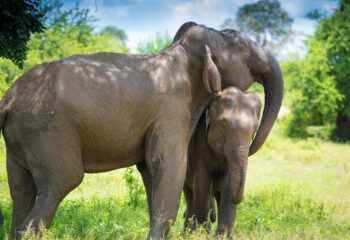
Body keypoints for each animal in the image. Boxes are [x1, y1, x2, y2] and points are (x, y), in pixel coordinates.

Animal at [185, 86, 262, 236]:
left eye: (254, 129)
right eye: (224, 125)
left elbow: (228, 185)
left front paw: (222, 236)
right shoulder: (197, 145)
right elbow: (202, 184)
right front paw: (202, 235)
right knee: (189, 195)